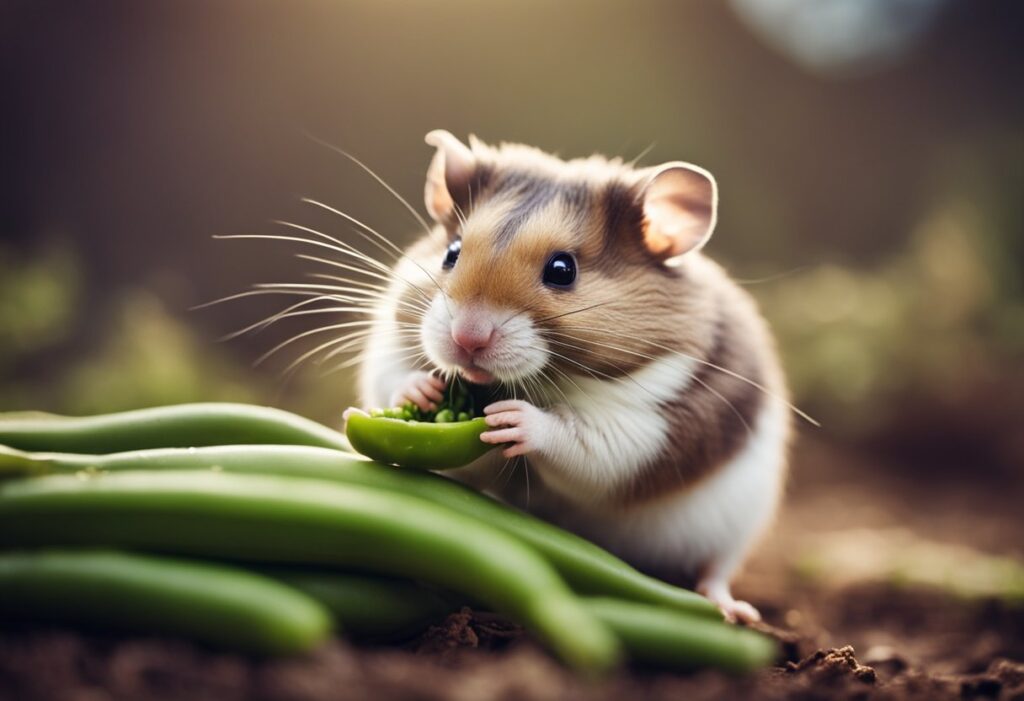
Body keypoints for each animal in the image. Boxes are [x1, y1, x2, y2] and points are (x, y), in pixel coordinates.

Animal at [357, 130, 791, 623]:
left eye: (562, 271)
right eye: (451, 252)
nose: (466, 340)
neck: (549, 380)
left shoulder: (648, 429)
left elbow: (588, 443)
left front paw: (515, 421)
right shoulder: (387, 343)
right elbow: (391, 371)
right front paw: (422, 389)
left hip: (739, 522)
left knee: (717, 568)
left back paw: (732, 611)